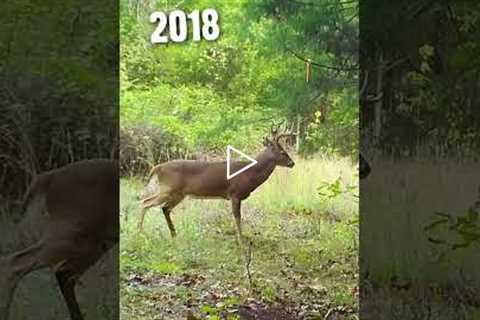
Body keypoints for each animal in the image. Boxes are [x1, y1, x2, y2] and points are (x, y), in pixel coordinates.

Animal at [139, 124, 296, 244]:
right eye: (282, 151)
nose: (292, 163)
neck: (250, 172)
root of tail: (157, 168)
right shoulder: (235, 194)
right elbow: (237, 217)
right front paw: (241, 240)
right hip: (169, 189)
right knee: (146, 202)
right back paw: (140, 231)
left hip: (177, 194)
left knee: (163, 208)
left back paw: (172, 234)